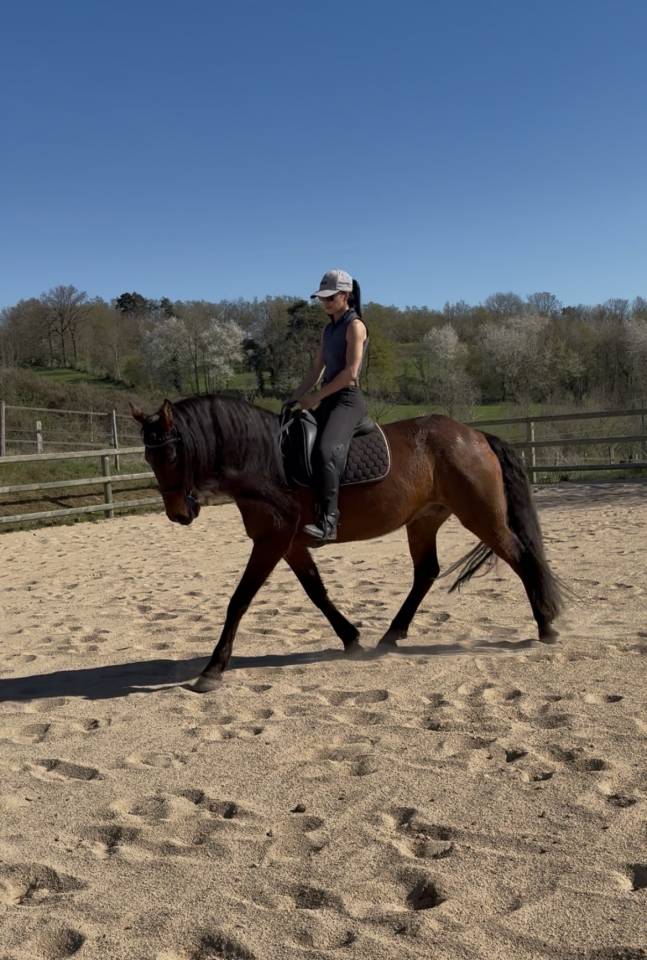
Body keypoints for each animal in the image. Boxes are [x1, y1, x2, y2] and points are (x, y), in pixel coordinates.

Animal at [131, 395, 563, 692]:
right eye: (149, 458)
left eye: (172, 453)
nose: (178, 514)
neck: (265, 460)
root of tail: (475, 435)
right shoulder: (290, 543)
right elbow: (316, 591)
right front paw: (351, 638)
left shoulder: (272, 539)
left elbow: (239, 600)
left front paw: (212, 670)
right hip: (424, 520)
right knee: (426, 572)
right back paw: (390, 636)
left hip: (480, 516)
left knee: (521, 557)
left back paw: (546, 626)